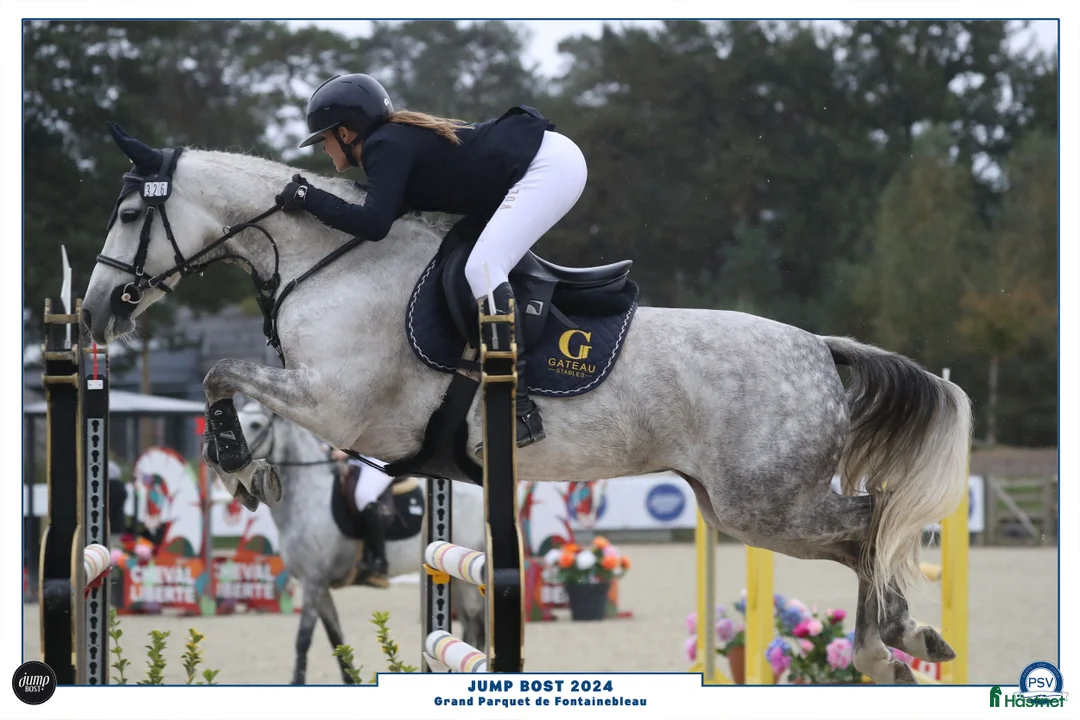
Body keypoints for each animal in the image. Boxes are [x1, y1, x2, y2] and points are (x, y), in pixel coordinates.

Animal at [235, 399, 487, 684]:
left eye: (256, 424)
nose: (218, 458)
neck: (310, 496)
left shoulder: (313, 581)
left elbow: (303, 640)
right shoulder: (320, 587)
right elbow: (337, 640)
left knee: (474, 625)